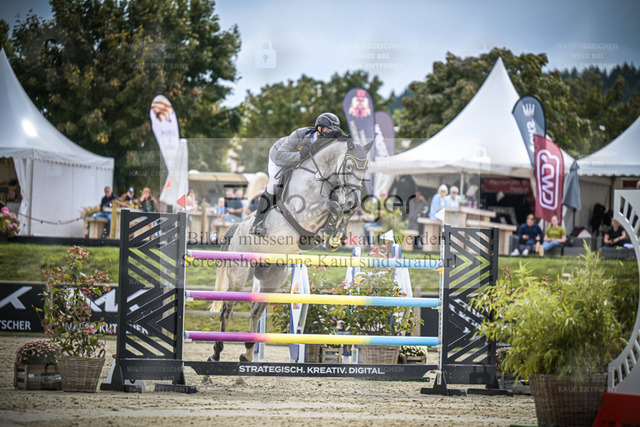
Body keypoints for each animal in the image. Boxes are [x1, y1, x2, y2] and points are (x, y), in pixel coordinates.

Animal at [209, 138, 373, 362]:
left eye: (366, 170)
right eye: (348, 167)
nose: (354, 200)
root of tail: (235, 229)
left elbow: (341, 210)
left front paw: (334, 237)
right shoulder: (304, 213)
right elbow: (333, 206)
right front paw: (328, 230)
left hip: (272, 280)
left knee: (255, 310)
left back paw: (248, 353)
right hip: (239, 275)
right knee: (228, 309)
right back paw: (216, 353)